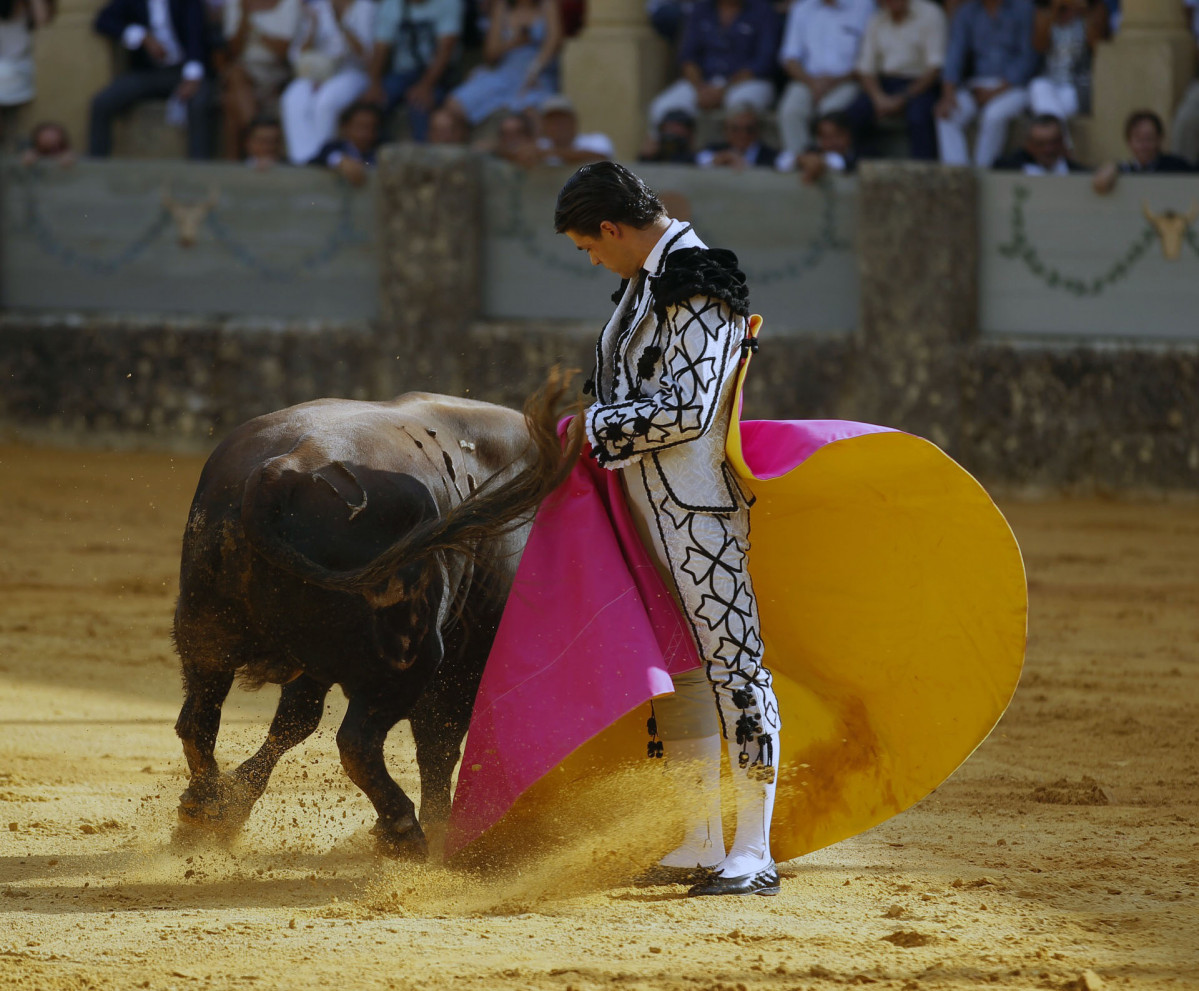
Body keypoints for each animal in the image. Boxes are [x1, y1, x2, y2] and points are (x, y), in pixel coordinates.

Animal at [171, 378, 577, 862]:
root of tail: (273, 475)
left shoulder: (317, 665)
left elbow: (295, 720)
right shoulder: (463, 661)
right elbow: (438, 744)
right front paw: (441, 830)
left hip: (206, 635)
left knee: (200, 719)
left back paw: (204, 808)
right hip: (407, 658)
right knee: (358, 742)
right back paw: (403, 832)